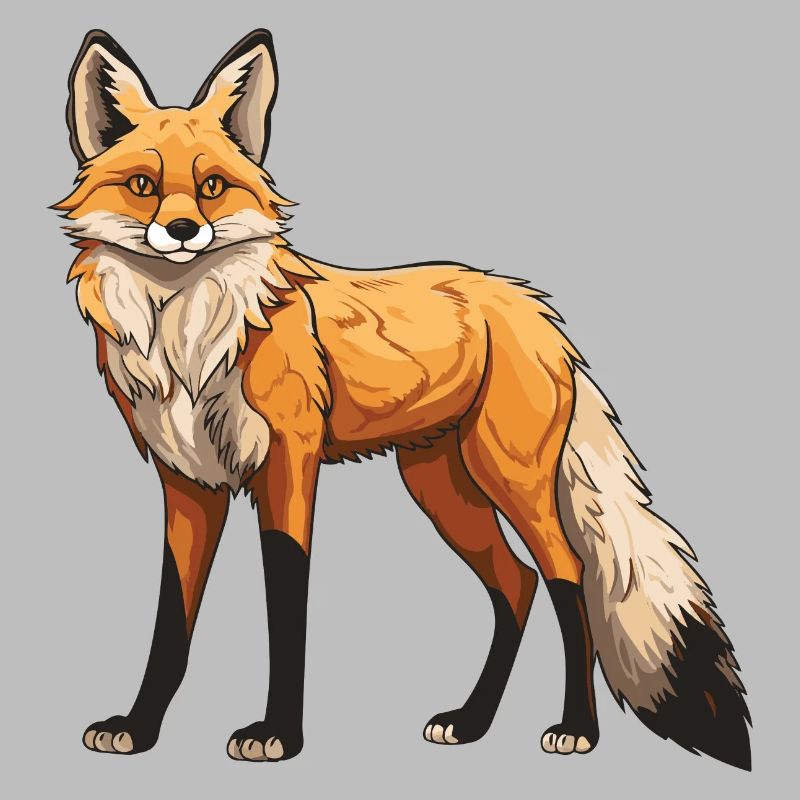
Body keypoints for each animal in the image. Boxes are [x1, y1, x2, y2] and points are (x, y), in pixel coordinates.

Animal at [56, 29, 751, 769]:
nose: (184, 231)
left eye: (212, 187)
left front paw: (279, 734)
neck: (189, 343)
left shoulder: (289, 466)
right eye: (143, 187)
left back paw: (576, 728)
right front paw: (139, 726)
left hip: (510, 478)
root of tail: (531, 305)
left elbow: (287, 605)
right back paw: (472, 721)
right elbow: (171, 621)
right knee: (517, 585)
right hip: (439, 486)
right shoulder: (188, 483)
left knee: (566, 577)